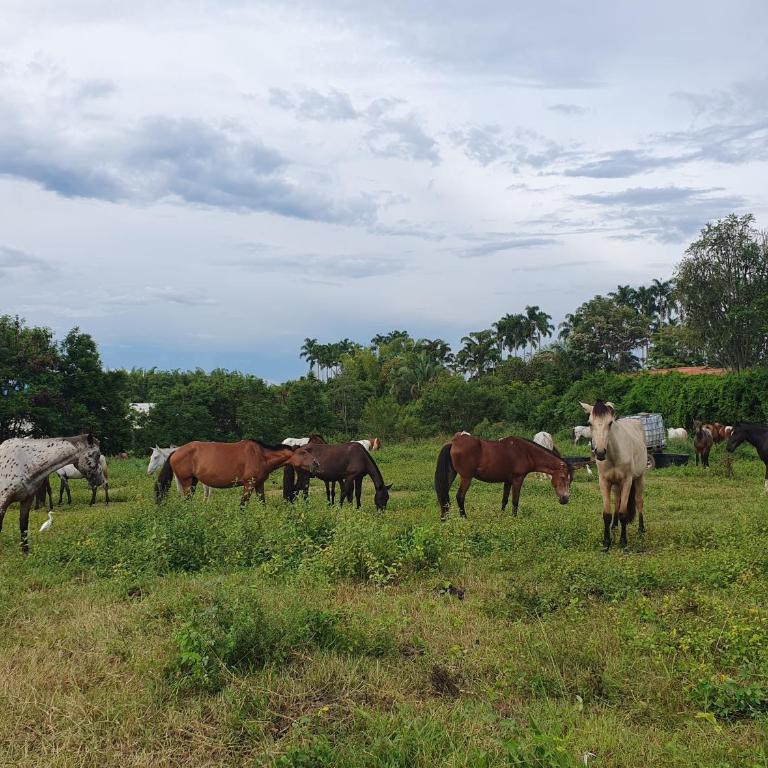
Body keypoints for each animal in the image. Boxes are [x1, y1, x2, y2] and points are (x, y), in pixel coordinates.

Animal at [155, 439, 318, 506]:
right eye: (303, 452)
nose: (316, 463)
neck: (261, 456)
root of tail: (176, 452)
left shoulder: (259, 484)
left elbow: (262, 502)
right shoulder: (248, 485)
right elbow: (243, 504)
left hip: (193, 482)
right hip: (187, 482)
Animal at [434, 432, 572, 520]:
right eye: (563, 477)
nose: (565, 499)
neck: (526, 452)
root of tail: (453, 443)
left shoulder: (508, 481)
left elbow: (504, 500)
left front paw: (501, 516)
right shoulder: (518, 479)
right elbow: (515, 500)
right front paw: (514, 518)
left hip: (451, 474)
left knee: (444, 495)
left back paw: (444, 518)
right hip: (466, 477)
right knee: (460, 497)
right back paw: (464, 518)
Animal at [581, 401, 646, 551]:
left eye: (610, 423)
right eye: (589, 423)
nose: (600, 452)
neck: (614, 455)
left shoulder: (627, 481)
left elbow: (623, 513)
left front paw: (623, 542)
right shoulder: (604, 482)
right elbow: (607, 513)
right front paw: (606, 543)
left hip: (639, 478)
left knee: (639, 501)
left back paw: (641, 529)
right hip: (616, 484)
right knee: (617, 501)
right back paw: (614, 526)